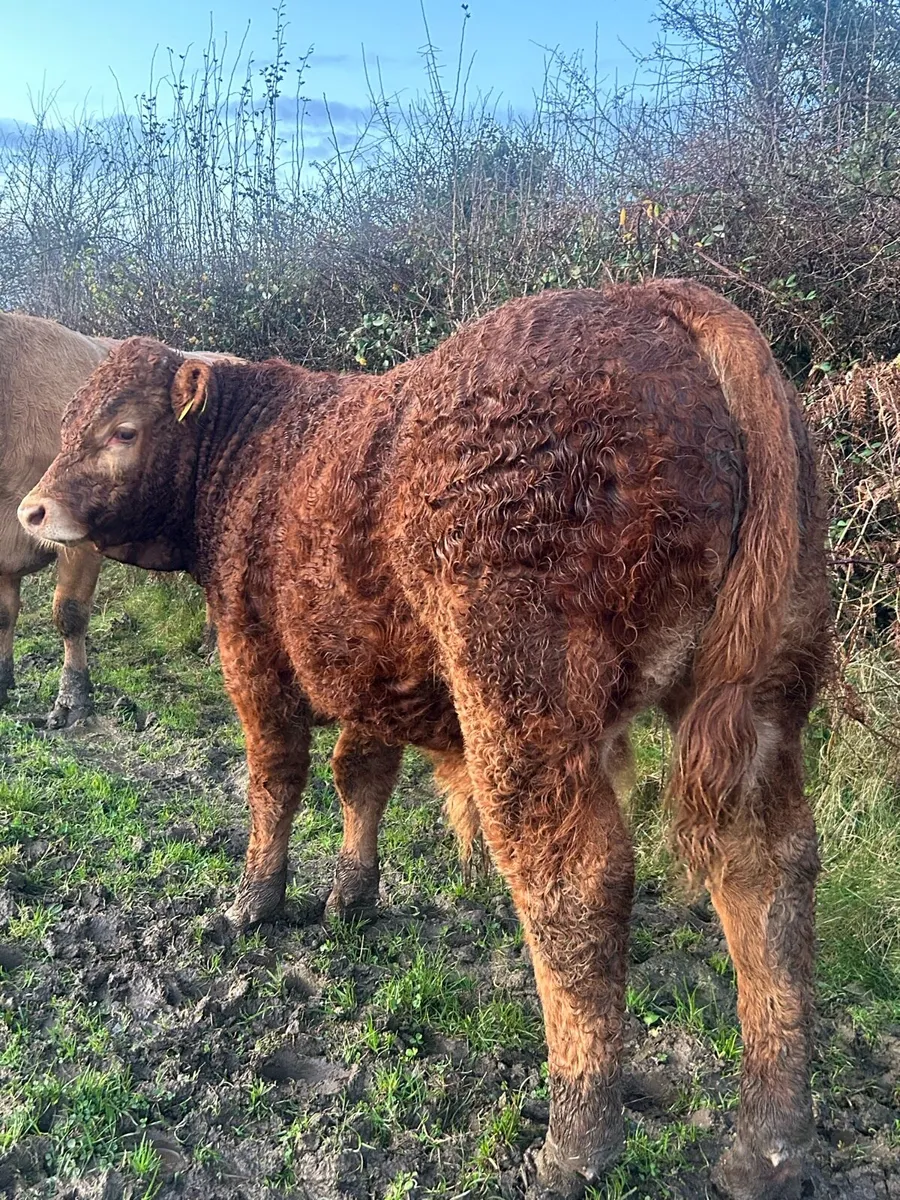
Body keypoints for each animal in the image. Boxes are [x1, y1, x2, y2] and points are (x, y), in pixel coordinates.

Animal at [19, 281, 831, 1200]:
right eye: (69, 422)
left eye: (122, 429)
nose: (33, 509)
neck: (256, 454)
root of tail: (663, 298)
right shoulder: (370, 673)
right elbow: (360, 778)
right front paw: (351, 896)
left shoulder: (252, 652)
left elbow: (275, 777)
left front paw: (253, 902)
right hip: (765, 698)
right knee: (766, 875)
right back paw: (768, 1149)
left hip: (523, 700)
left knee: (574, 883)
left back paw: (575, 1143)